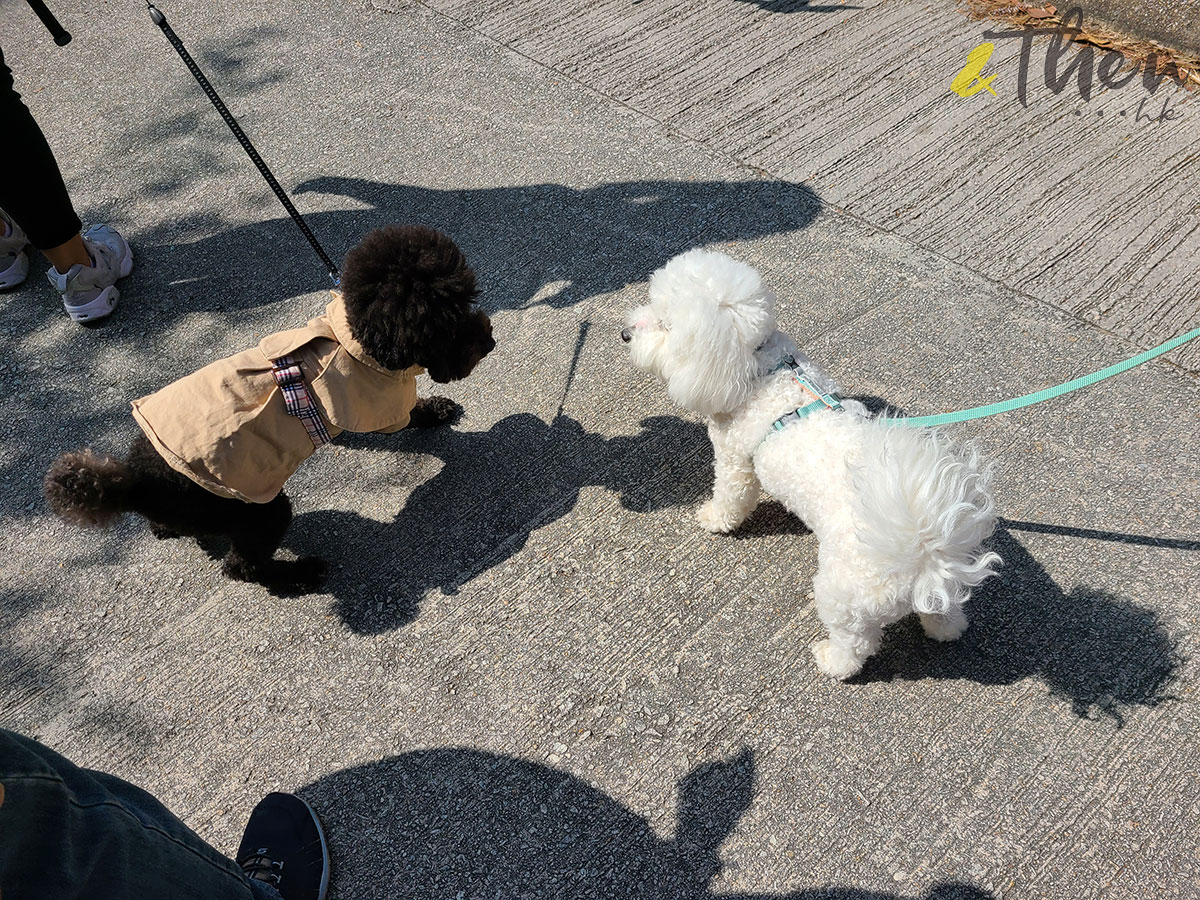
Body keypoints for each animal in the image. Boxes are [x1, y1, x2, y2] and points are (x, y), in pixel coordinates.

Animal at [43, 223, 492, 595]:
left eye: (468, 300)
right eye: (446, 323)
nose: (488, 340)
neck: (354, 339)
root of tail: (139, 481)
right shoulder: (374, 404)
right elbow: (409, 414)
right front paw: (436, 410)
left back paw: (165, 528)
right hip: (257, 509)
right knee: (243, 566)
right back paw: (301, 574)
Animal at [624, 250, 998, 681]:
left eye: (666, 324)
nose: (625, 333)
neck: (761, 364)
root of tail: (922, 552)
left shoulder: (734, 460)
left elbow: (732, 497)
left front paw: (714, 519)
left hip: (842, 596)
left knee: (855, 644)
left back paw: (831, 660)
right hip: (927, 592)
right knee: (943, 608)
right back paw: (947, 630)